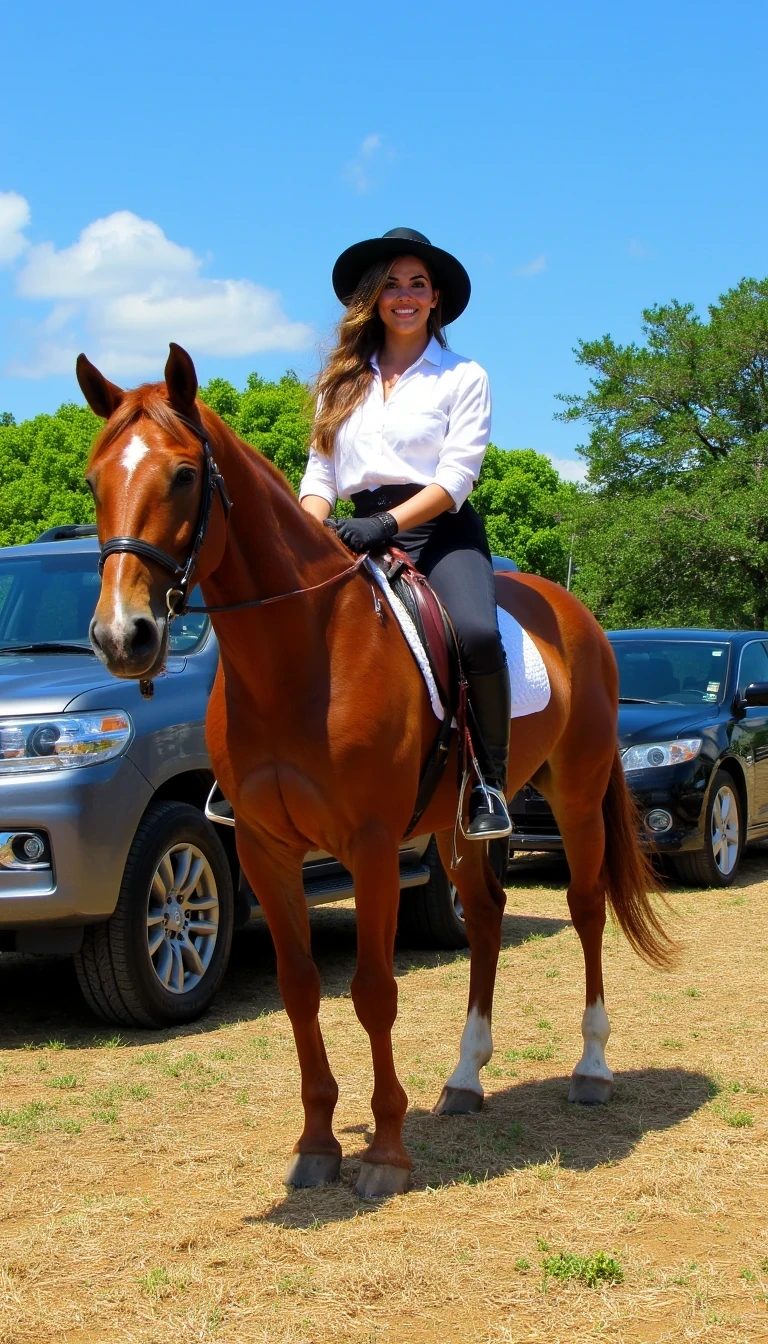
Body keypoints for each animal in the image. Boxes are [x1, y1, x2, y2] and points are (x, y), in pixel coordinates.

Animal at [74, 344, 669, 1198]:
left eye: (184, 475)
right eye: (95, 481)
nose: (124, 636)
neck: (302, 652)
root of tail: (574, 611)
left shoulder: (373, 845)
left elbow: (374, 991)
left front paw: (386, 1151)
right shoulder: (265, 848)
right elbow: (298, 989)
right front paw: (317, 1143)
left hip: (579, 794)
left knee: (587, 911)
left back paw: (592, 1068)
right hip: (461, 825)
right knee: (485, 917)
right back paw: (465, 1079)